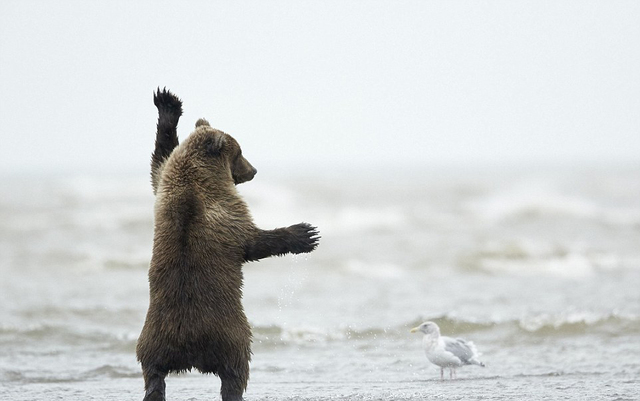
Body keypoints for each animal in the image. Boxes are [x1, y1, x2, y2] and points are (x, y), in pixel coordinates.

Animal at [136, 88, 318, 400]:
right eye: (240, 151)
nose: (254, 170)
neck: (198, 175)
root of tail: (189, 349)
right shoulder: (225, 212)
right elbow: (253, 242)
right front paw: (305, 234)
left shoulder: (165, 189)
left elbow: (159, 163)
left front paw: (168, 104)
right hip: (229, 333)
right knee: (236, 371)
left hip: (154, 338)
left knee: (153, 374)